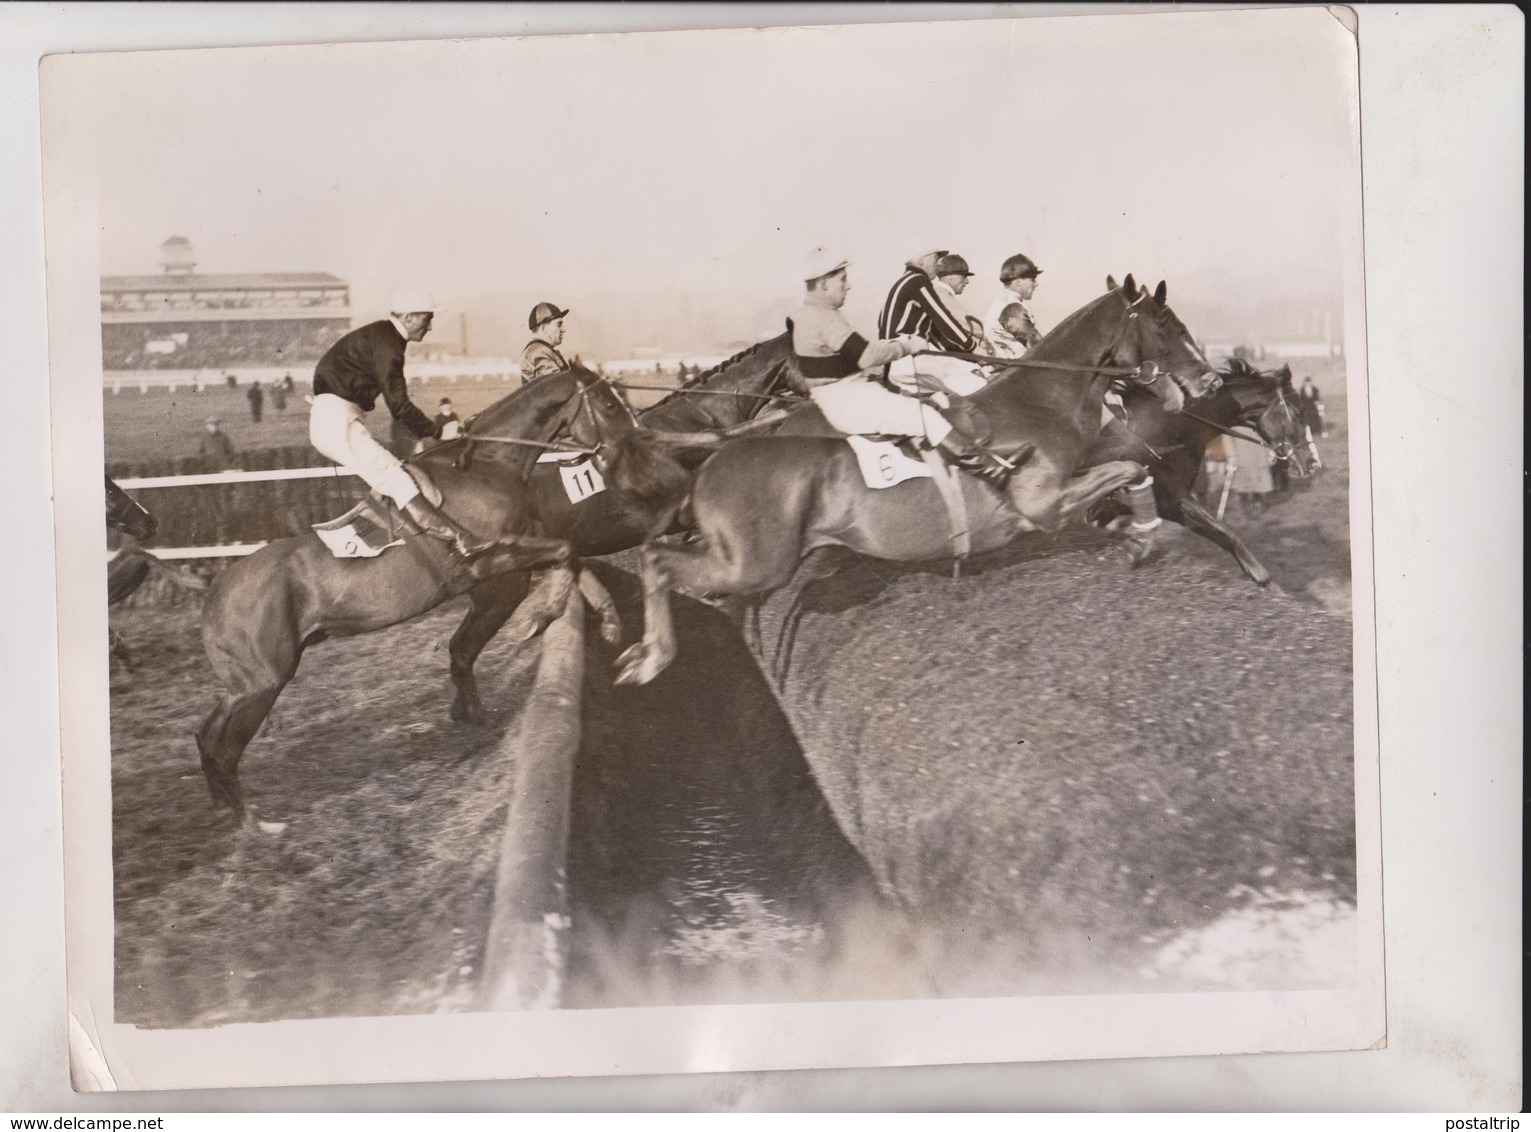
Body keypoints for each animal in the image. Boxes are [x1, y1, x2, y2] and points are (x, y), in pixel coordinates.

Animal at [192, 367, 633, 821]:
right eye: (610, 403)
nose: (632, 449)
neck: (487, 467)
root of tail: (214, 600)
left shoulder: (519, 551)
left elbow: (571, 554)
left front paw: (610, 621)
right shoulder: (491, 564)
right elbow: (564, 552)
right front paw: (543, 616)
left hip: (244, 683)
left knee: (206, 735)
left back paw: (227, 809)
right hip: (264, 683)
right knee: (223, 748)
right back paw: (252, 821)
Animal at [609, 277, 1218, 683]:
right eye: (1165, 323)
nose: (1209, 378)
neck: (1044, 399)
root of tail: (719, 454)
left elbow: (1132, 465)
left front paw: (1133, 530)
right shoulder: (1041, 503)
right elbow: (1129, 468)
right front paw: (1143, 537)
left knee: (667, 559)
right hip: (758, 562)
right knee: (658, 561)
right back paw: (651, 656)